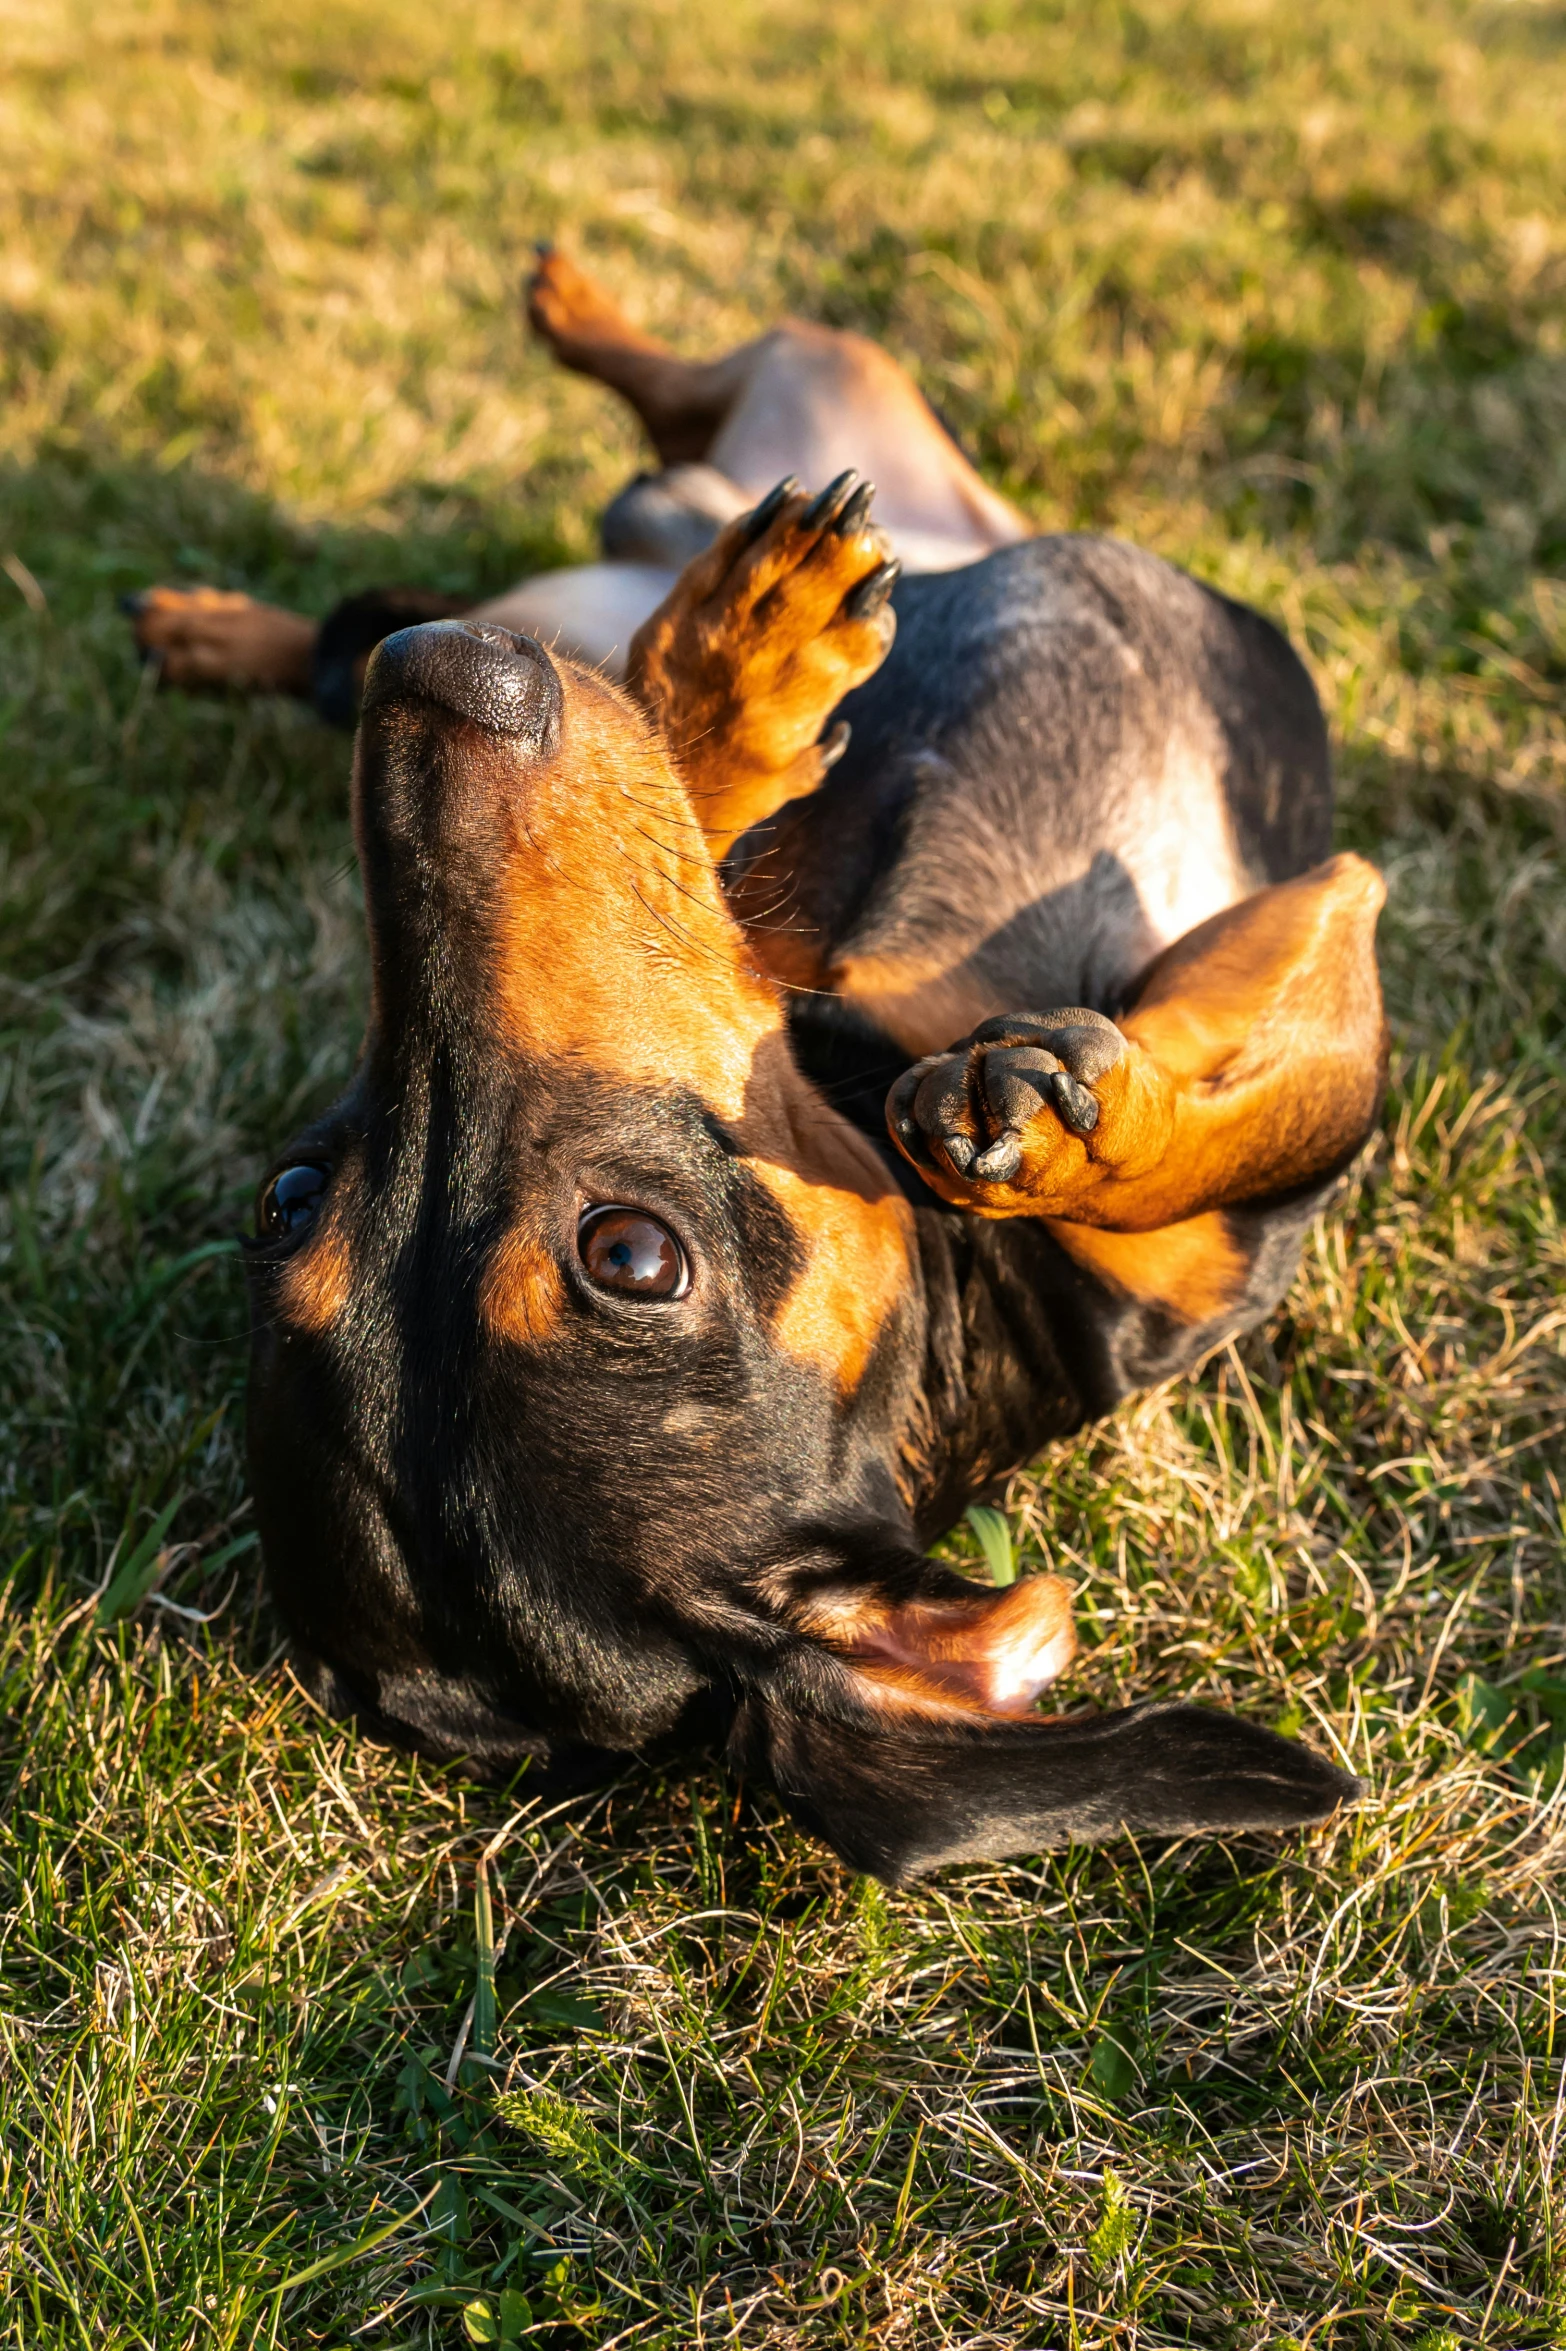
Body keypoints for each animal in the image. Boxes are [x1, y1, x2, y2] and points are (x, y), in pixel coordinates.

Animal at [131, 248, 1382, 1880]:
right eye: (632, 1255)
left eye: (287, 1194)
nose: (434, 701)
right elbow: (1301, 1115)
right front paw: (1055, 1119)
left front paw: (733, 680)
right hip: (816, 411)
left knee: (625, 471)